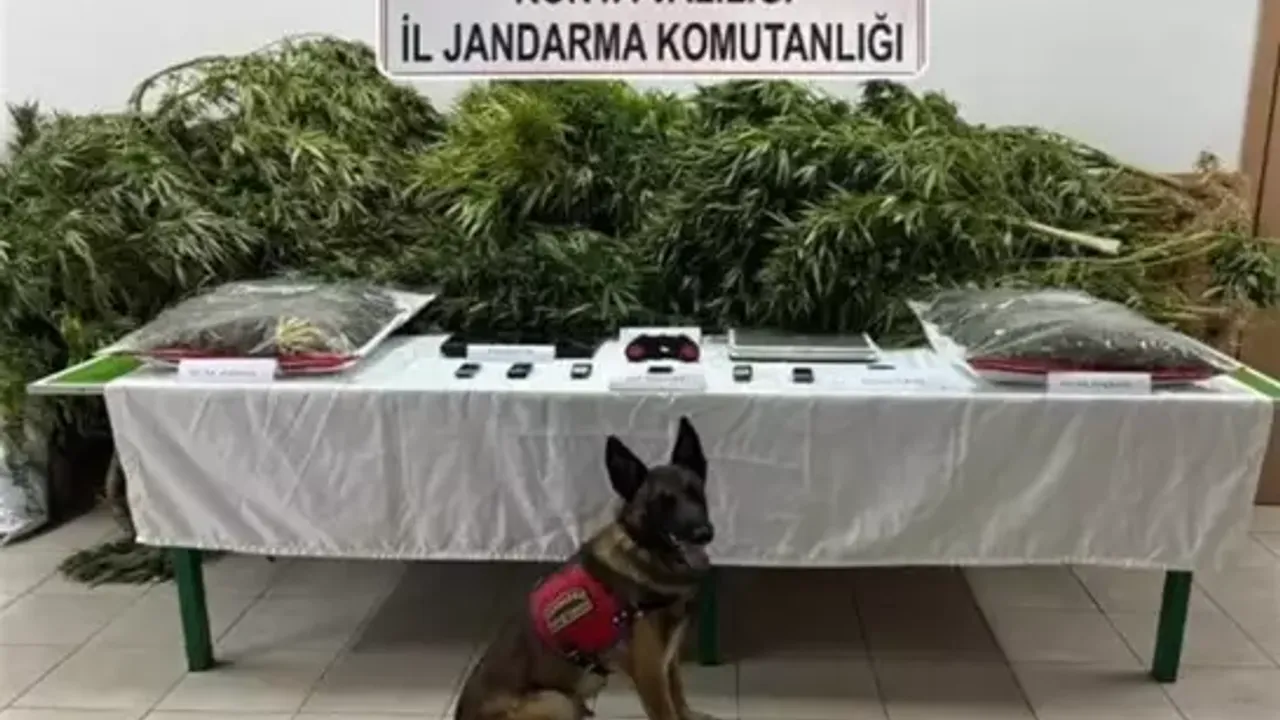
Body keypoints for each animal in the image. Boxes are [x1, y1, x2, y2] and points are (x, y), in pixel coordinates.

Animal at [455, 416, 717, 720]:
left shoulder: (668, 661)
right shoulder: (650, 675)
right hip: (557, 701)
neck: (645, 553)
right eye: (662, 504)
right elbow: (668, 708)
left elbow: (679, 696)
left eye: (695, 493)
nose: (704, 533)